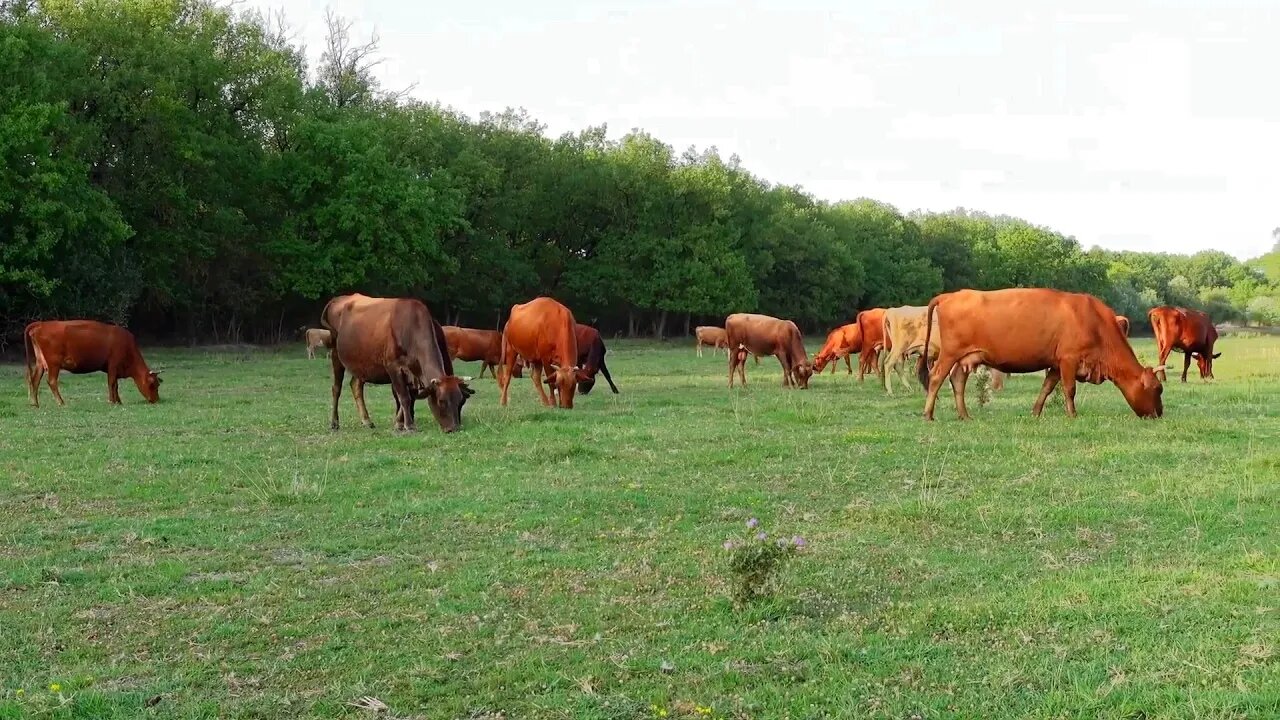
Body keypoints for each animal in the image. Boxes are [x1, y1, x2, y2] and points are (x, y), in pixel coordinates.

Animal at [24, 317, 163, 404]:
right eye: (152, 385)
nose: (156, 400)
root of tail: (42, 324)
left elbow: (116, 385)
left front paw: (118, 401)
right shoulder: (113, 365)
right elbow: (112, 383)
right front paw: (112, 401)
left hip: (40, 362)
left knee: (35, 380)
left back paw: (35, 403)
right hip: (54, 363)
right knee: (52, 381)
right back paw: (60, 402)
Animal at [322, 292, 473, 430]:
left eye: (461, 401)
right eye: (442, 401)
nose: (454, 428)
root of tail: (338, 299)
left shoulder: (414, 372)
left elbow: (410, 396)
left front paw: (400, 423)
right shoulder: (393, 367)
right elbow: (404, 397)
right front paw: (408, 425)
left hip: (361, 362)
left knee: (356, 385)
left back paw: (367, 421)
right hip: (336, 353)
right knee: (336, 388)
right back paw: (334, 423)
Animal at [916, 286, 1167, 420]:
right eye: (1158, 389)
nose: (1159, 413)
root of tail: (950, 295)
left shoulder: (1056, 364)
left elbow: (1047, 388)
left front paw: (1035, 412)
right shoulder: (1068, 359)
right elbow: (1069, 389)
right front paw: (1072, 414)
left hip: (966, 358)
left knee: (957, 381)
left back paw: (965, 416)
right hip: (949, 354)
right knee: (937, 378)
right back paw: (928, 415)